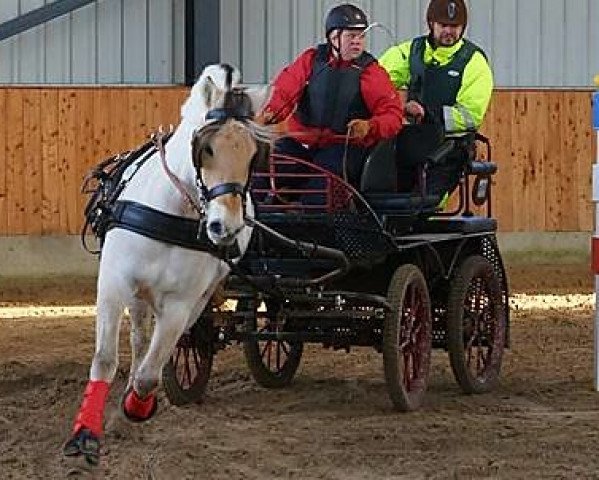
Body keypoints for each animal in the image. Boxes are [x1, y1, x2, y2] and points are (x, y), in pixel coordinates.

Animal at [63, 63, 272, 468]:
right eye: (205, 148)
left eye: (253, 155)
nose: (225, 226)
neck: (171, 213)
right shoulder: (113, 284)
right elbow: (105, 359)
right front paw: (85, 435)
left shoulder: (180, 303)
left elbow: (151, 373)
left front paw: (136, 407)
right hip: (138, 293)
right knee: (139, 338)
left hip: (196, 299)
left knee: (159, 349)